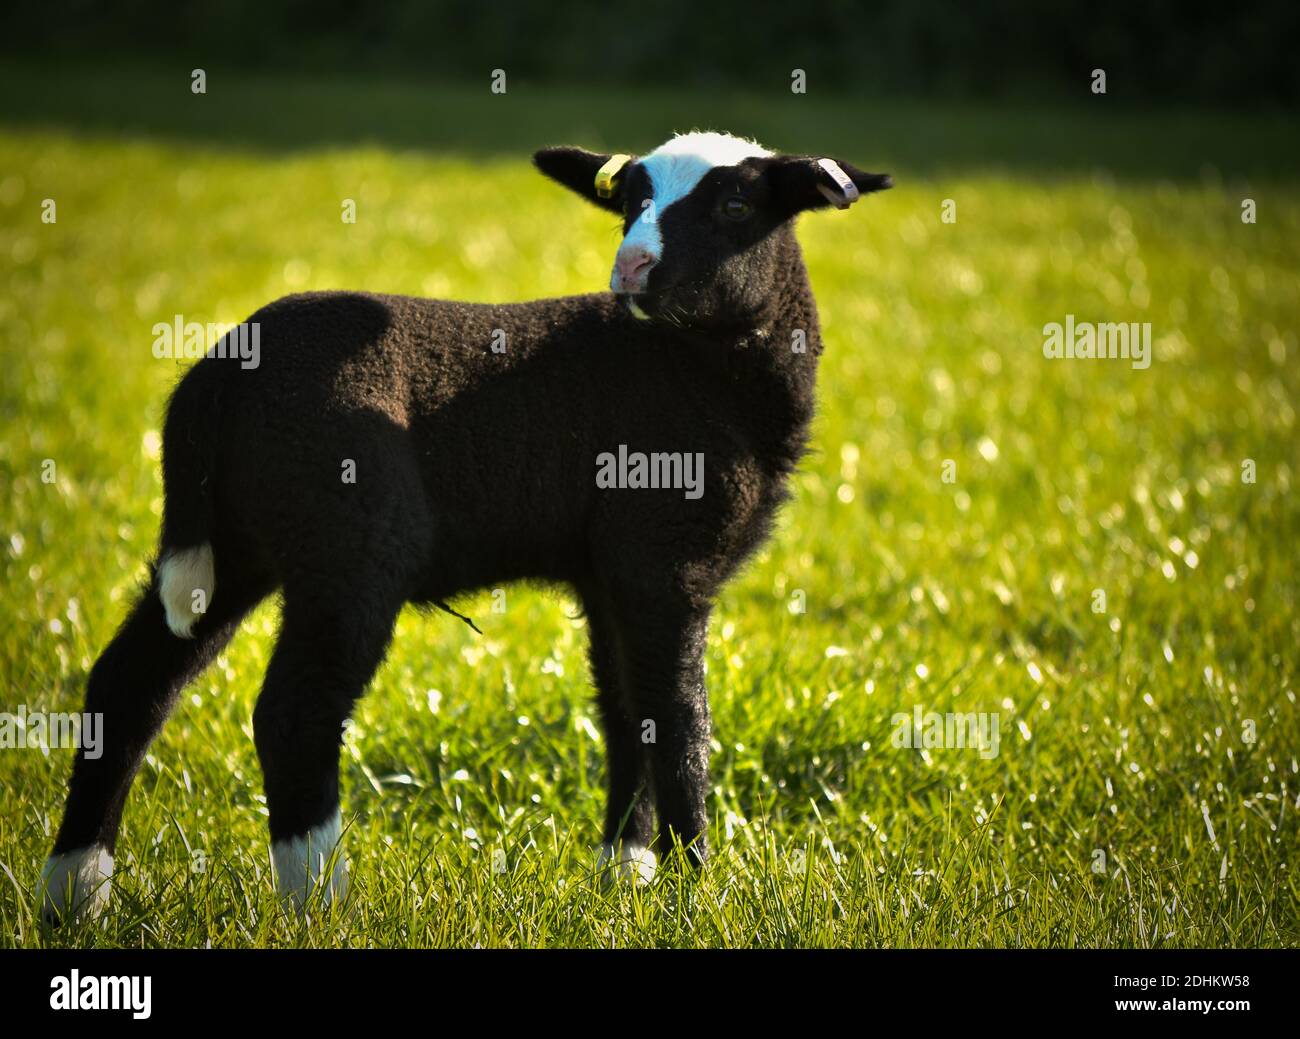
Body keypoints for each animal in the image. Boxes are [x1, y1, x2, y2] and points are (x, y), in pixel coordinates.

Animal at [43, 130, 894, 920]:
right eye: (627, 202)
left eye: (736, 206)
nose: (631, 270)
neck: (696, 369)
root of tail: (212, 380)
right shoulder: (664, 563)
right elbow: (681, 723)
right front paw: (698, 892)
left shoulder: (608, 574)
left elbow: (627, 716)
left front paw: (625, 879)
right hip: (349, 548)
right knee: (292, 714)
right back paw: (321, 902)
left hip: (232, 547)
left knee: (129, 684)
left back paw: (76, 895)